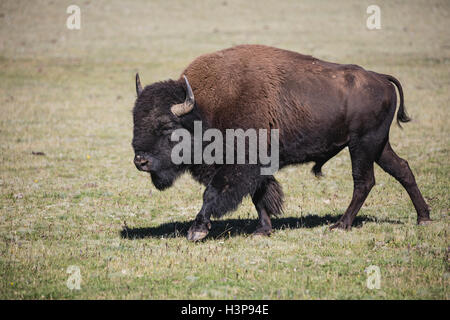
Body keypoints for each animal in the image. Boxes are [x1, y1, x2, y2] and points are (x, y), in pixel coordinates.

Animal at [131, 44, 432, 240]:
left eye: (167, 126)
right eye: (134, 119)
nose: (140, 161)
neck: (203, 111)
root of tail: (381, 78)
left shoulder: (240, 165)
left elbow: (214, 193)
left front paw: (197, 230)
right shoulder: (257, 166)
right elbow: (260, 196)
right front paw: (263, 230)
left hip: (363, 145)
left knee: (364, 181)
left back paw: (341, 225)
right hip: (378, 145)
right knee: (403, 169)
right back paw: (424, 218)